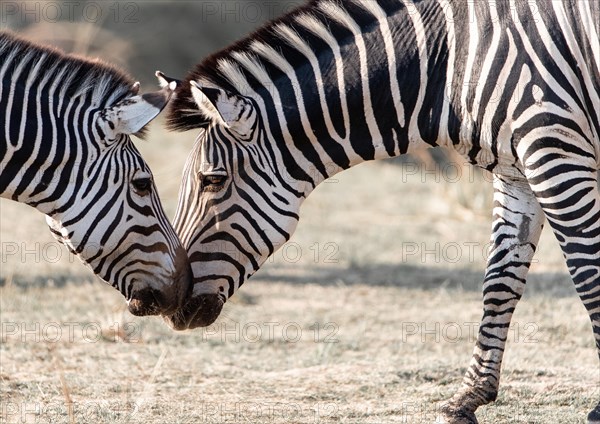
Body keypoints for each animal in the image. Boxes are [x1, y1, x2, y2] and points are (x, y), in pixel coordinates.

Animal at [162, 0, 596, 420]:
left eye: (212, 181)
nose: (171, 304)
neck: (446, 68)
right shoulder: (515, 173)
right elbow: (499, 282)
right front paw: (468, 398)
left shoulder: (555, 152)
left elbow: (587, 273)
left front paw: (597, 407)